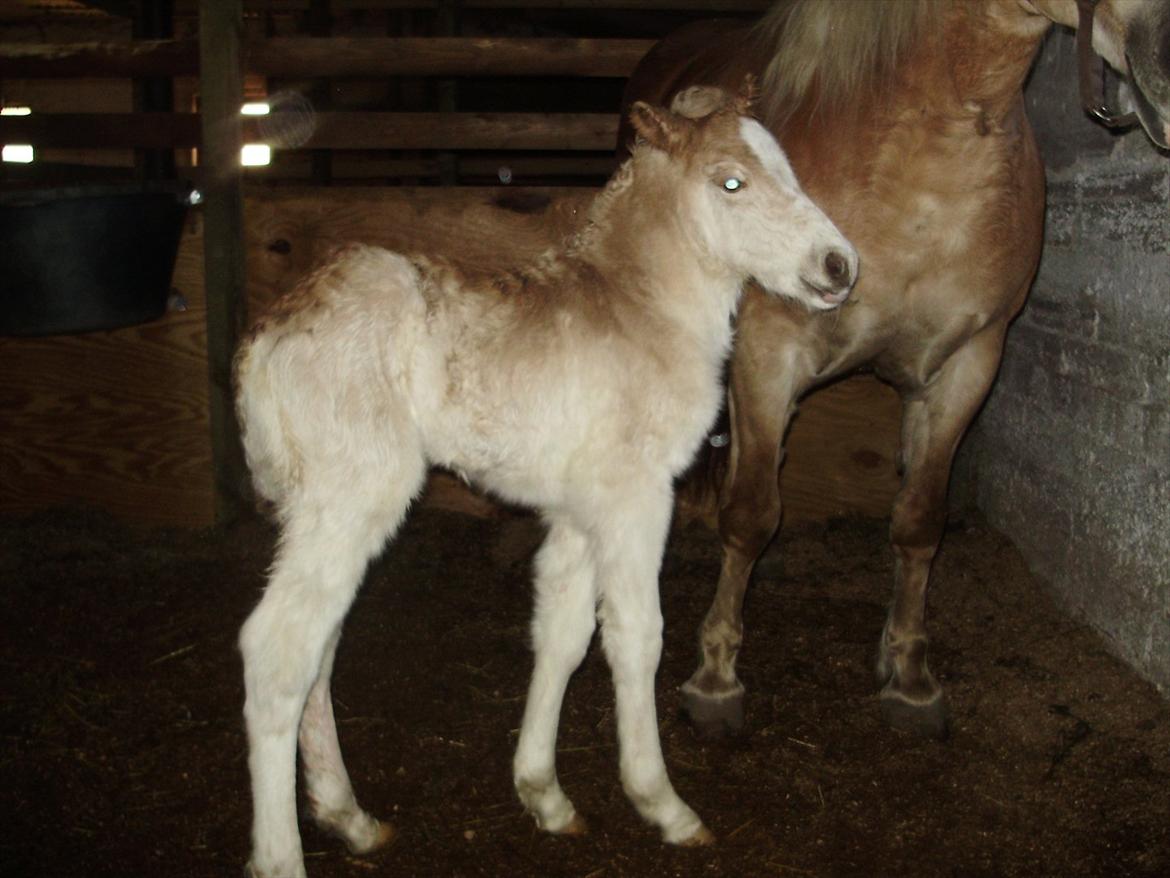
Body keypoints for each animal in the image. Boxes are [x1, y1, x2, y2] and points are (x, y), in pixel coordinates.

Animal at [239, 84, 861, 878]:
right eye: (732, 182)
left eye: (787, 166)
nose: (838, 265)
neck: (642, 310)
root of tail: (268, 337)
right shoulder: (637, 496)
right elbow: (636, 636)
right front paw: (663, 804)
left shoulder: (579, 508)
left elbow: (561, 633)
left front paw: (545, 796)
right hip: (352, 496)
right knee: (277, 649)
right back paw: (282, 854)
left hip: (317, 510)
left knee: (319, 645)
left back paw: (351, 818)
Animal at [617, 0, 1165, 744]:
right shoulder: (770, 354)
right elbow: (752, 513)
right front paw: (715, 678)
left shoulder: (968, 365)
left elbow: (918, 521)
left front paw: (908, 677)